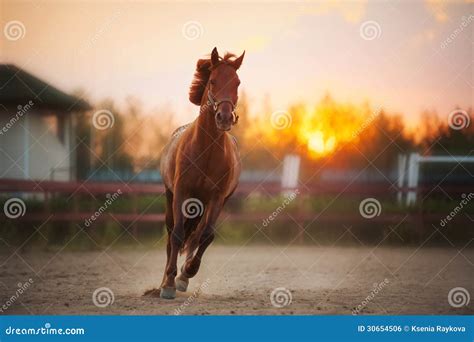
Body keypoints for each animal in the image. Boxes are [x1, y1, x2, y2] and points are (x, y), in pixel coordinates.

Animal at [158, 47, 244, 300]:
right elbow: (177, 235)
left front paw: (187, 272)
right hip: (171, 197)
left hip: (205, 204)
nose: (224, 117)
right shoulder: (181, 193)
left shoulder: (216, 199)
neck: (207, 150)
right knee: (171, 236)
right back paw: (165, 279)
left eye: (237, 82)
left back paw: (182, 276)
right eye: (213, 80)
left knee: (196, 236)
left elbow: (205, 236)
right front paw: (168, 284)